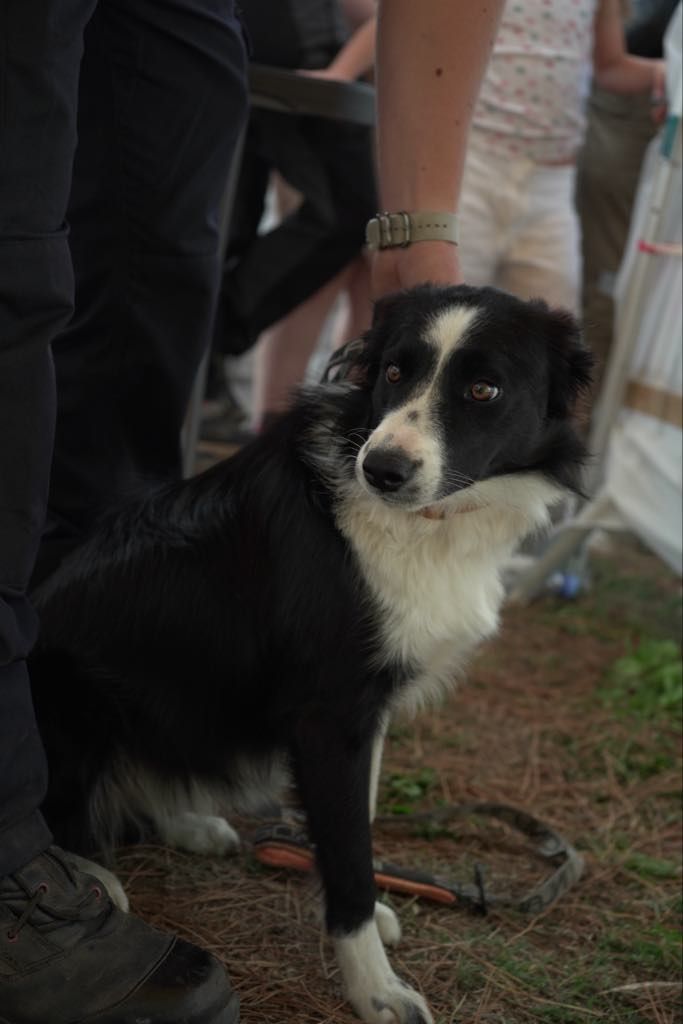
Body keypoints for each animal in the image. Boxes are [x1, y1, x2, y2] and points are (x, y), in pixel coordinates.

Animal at [29, 282, 593, 1024]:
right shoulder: (330, 714)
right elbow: (348, 852)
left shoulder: (368, 710)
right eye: (395, 373)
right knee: (65, 808)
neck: (420, 527)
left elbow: (360, 824)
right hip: (75, 694)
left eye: (482, 389)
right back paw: (92, 880)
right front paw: (375, 987)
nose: (381, 470)